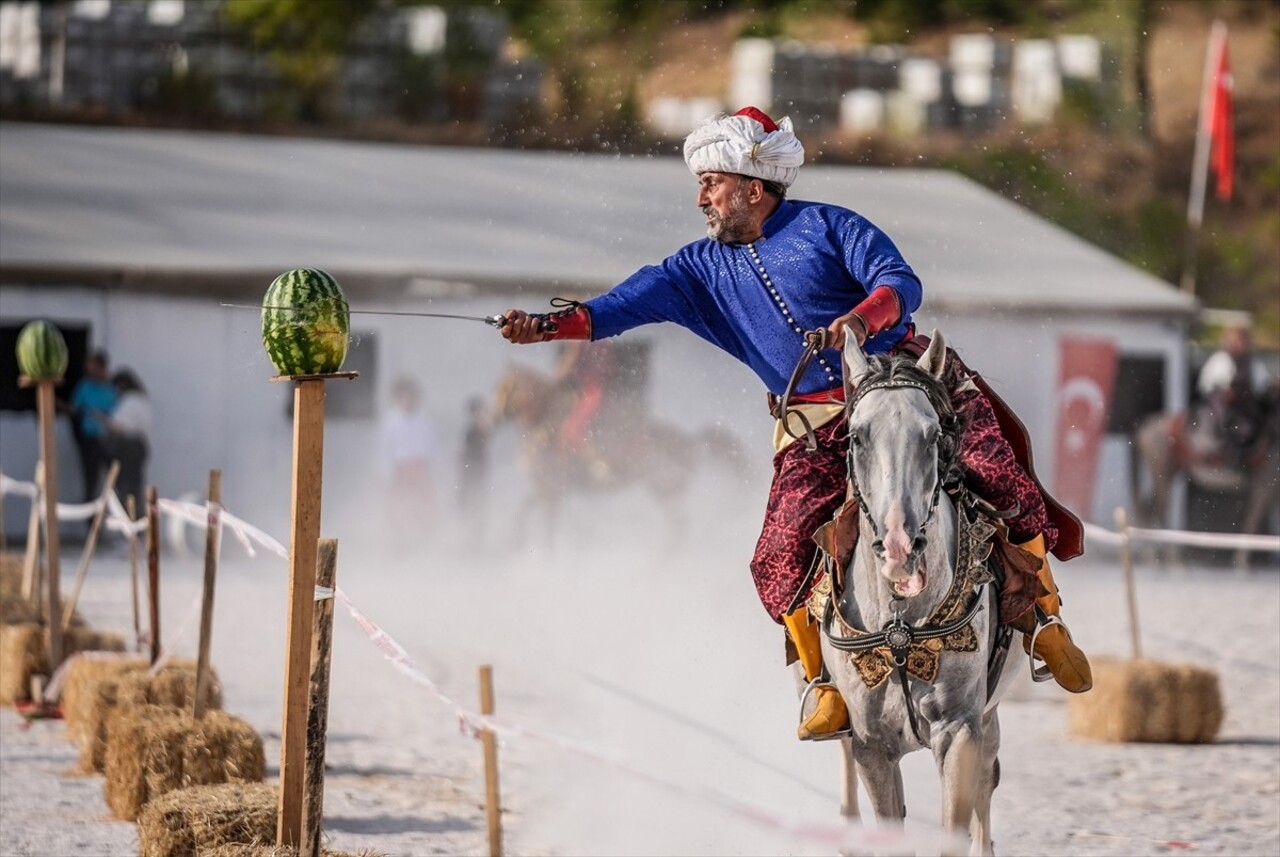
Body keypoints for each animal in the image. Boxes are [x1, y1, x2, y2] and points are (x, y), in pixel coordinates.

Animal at [824, 335, 1024, 857]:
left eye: (933, 435)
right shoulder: (871, 743)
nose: (899, 547)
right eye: (856, 437)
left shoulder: (959, 729)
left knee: (986, 785)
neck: (899, 626)